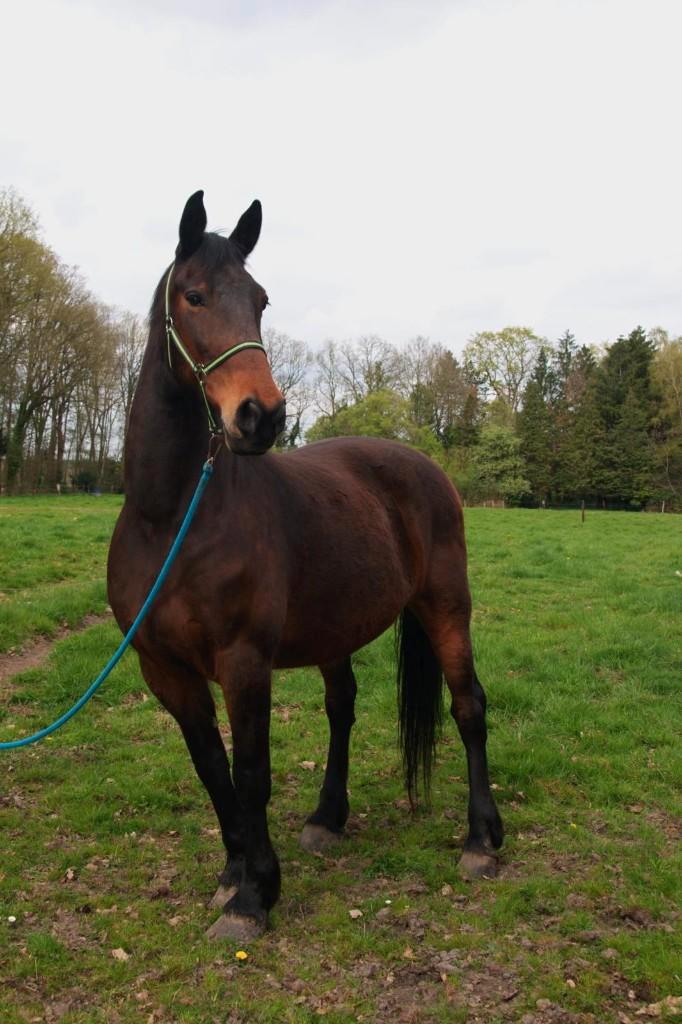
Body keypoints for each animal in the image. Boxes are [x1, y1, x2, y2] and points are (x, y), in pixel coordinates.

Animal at [107, 191, 503, 941]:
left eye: (260, 299)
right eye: (194, 296)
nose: (260, 416)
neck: (170, 517)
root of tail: (425, 467)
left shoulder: (244, 662)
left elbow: (252, 773)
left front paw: (255, 896)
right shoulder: (164, 669)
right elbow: (213, 770)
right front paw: (233, 874)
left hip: (447, 607)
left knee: (468, 706)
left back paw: (481, 841)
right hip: (335, 627)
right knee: (341, 706)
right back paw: (327, 817)